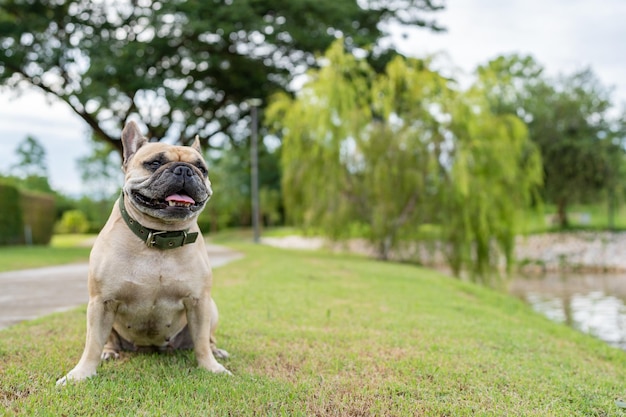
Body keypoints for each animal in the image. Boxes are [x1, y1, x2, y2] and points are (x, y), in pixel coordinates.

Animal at [56, 120, 229, 384]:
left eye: (202, 168)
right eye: (155, 163)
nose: (184, 170)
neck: (159, 235)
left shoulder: (199, 302)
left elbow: (200, 341)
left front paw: (211, 367)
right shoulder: (101, 302)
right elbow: (92, 343)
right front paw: (80, 373)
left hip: (212, 309)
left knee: (207, 338)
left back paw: (217, 351)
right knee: (107, 340)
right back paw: (110, 352)